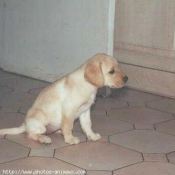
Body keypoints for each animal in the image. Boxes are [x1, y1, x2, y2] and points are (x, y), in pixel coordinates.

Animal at [0, 54, 128, 144]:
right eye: (112, 71)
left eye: (119, 67)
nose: (127, 78)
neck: (88, 85)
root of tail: (24, 123)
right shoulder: (69, 109)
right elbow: (68, 126)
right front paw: (70, 139)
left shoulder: (85, 111)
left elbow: (87, 125)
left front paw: (91, 136)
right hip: (40, 124)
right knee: (30, 134)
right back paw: (43, 138)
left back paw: (58, 131)